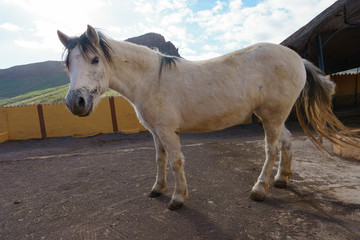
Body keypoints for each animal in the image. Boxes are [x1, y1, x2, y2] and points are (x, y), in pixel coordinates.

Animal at [57, 24, 358, 210]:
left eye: (95, 60)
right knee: (286, 141)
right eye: (68, 64)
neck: (151, 79)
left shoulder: (167, 131)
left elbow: (176, 162)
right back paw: (282, 179)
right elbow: (160, 160)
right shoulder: (155, 132)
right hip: (273, 116)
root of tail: (298, 59)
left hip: (272, 117)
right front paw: (157, 188)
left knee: (271, 149)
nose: (75, 103)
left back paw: (260, 189)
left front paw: (177, 198)